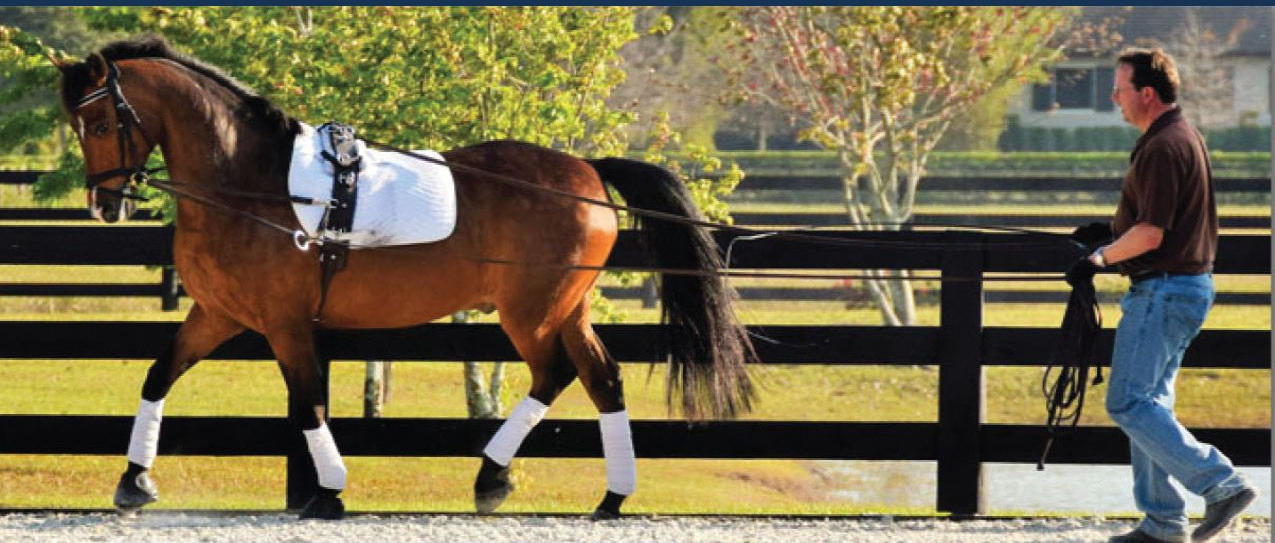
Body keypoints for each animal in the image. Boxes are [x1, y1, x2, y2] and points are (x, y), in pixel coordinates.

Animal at [53, 35, 756, 520]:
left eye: (101, 122)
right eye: (77, 126)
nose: (104, 205)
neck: (248, 182)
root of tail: (586, 169)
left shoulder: (284, 323)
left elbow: (306, 402)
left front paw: (329, 494)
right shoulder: (219, 314)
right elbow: (158, 375)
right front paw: (134, 481)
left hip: (530, 312)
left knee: (554, 374)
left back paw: (493, 480)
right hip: (568, 308)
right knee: (601, 377)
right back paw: (610, 498)